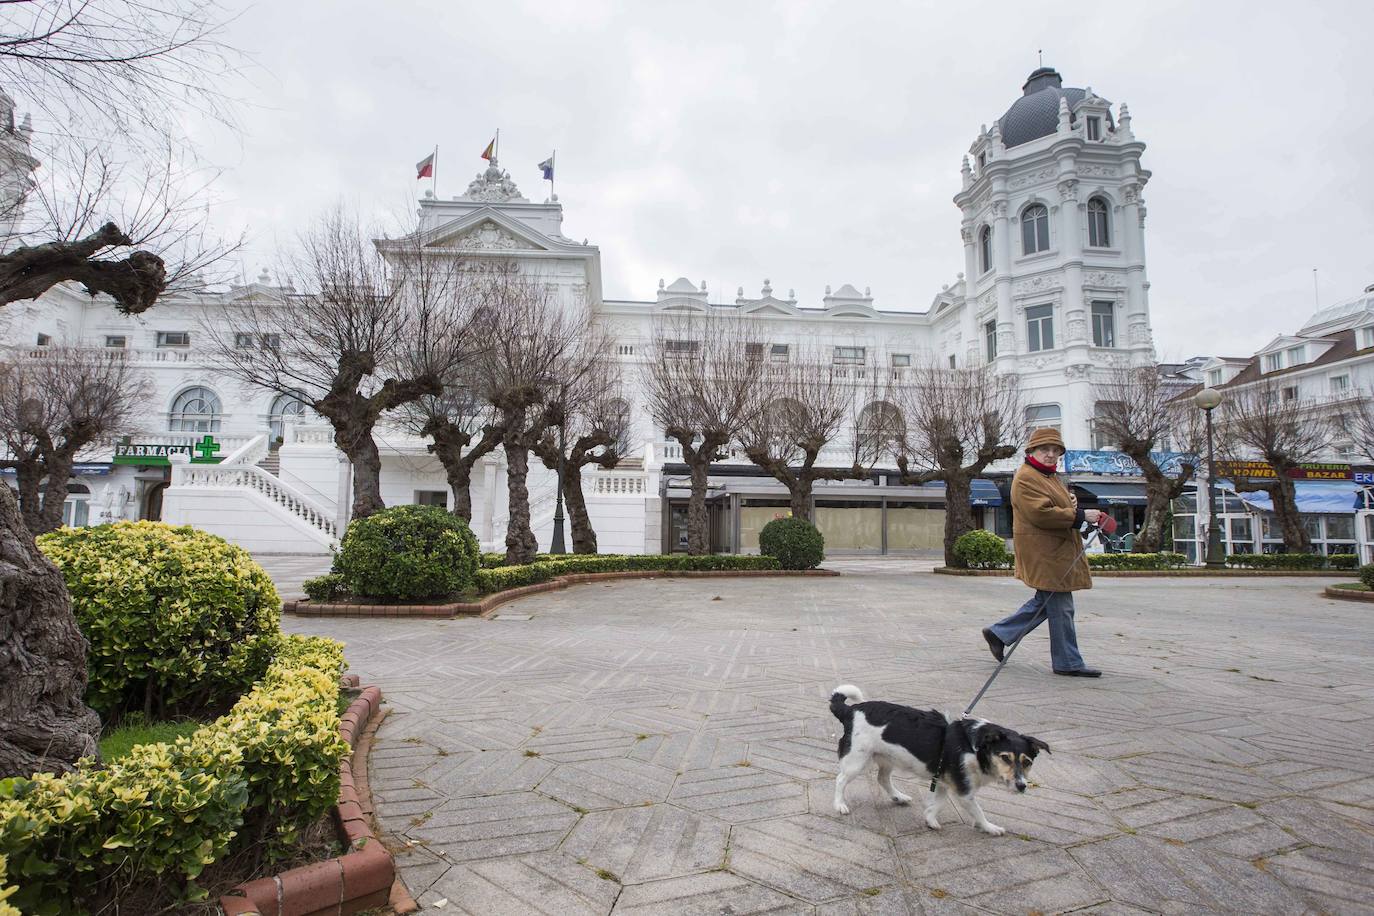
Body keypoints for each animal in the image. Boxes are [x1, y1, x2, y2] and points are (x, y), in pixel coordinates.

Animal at [824, 681, 1049, 840]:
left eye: (1027, 762)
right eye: (1005, 758)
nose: (1021, 786)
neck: (974, 747)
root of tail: (850, 711)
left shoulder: (943, 781)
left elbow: (938, 803)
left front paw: (930, 820)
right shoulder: (964, 792)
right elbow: (978, 812)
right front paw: (990, 828)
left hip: (887, 758)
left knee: (883, 779)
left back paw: (898, 797)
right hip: (856, 760)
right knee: (840, 780)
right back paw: (839, 804)